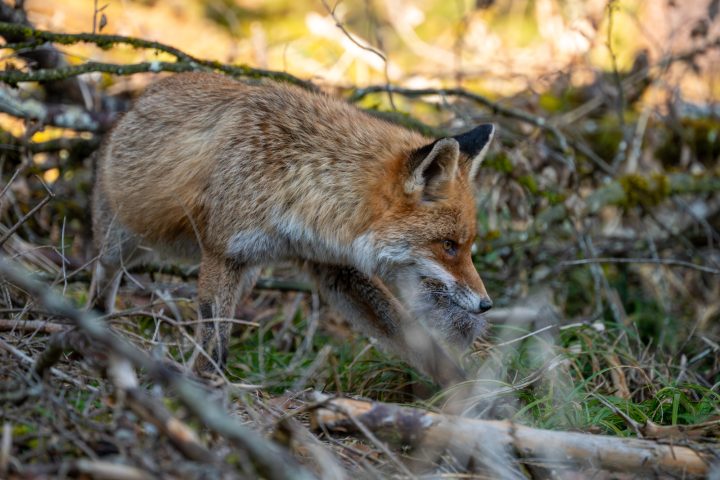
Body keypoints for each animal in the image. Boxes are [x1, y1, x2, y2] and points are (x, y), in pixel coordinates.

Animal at [91, 72, 495, 386]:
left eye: (467, 245)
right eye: (448, 245)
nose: (486, 304)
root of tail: (140, 96)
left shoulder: (335, 268)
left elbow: (413, 338)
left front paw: (465, 396)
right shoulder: (222, 251)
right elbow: (212, 340)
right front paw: (205, 389)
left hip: (249, 274)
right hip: (122, 241)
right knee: (104, 274)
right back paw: (97, 325)